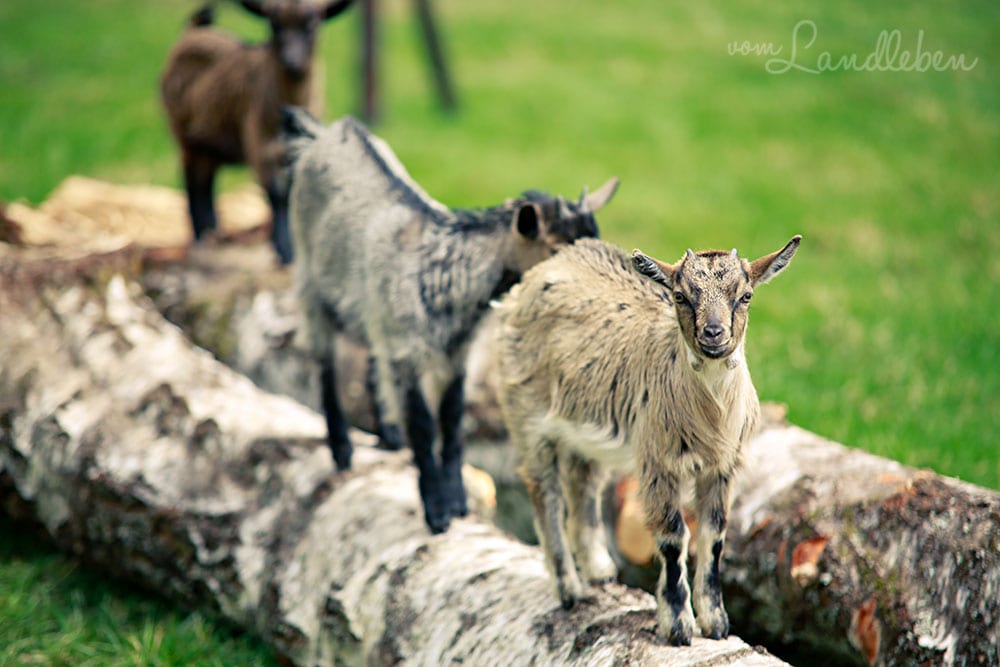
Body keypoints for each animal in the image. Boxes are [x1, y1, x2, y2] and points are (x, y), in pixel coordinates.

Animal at [160, 0, 354, 264]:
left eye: (312, 24)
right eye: (274, 26)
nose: (291, 63)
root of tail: (193, 31)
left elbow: (291, 190)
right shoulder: (259, 144)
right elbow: (277, 194)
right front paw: (285, 250)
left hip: (210, 143)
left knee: (206, 181)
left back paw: (214, 233)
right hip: (184, 135)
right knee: (194, 183)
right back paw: (201, 239)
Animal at [282, 107, 620, 533]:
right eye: (558, 252)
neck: (441, 272)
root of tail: (324, 133)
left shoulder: (457, 353)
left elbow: (453, 420)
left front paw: (456, 499)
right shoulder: (406, 351)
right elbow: (424, 426)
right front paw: (437, 510)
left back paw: (388, 435)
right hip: (310, 276)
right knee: (324, 360)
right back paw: (341, 450)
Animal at [495, 235, 800, 645]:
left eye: (746, 295)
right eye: (680, 296)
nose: (714, 334)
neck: (711, 413)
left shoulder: (722, 466)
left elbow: (714, 535)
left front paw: (716, 624)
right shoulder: (659, 461)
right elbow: (673, 537)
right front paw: (678, 626)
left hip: (584, 432)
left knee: (583, 485)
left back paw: (598, 569)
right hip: (528, 417)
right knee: (546, 492)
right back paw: (569, 590)